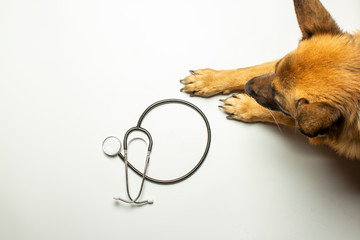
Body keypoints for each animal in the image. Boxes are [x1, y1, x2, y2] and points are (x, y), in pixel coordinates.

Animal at [181, 0, 360, 161]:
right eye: (277, 67)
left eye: (278, 98)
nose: (247, 87)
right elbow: (249, 71)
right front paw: (210, 80)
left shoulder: (308, 125)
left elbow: (277, 114)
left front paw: (245, 107)